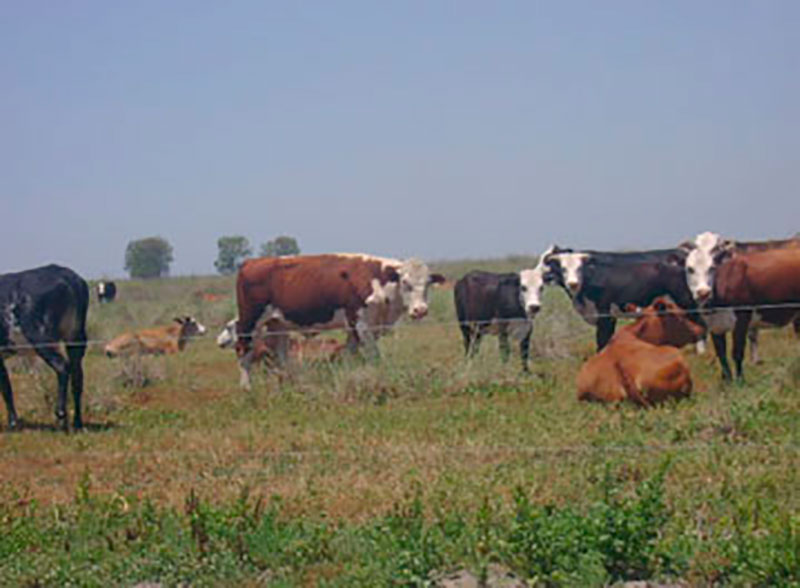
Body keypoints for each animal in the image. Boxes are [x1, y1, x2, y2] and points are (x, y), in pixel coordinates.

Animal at [0, 264, 89, 431]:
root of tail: (67, 276)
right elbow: (6, 386)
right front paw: (13, 422)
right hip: (75, 340)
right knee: (77, 376)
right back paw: (77, 422)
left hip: (41, 338)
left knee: (62, 367)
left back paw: (61, 416)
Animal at [234, 254, 445, 389]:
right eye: (405, 283)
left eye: (428, 283)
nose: (420, 310)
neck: (378, 281)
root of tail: (250, 262)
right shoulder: (361, 323)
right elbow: (373, 355)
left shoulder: (361, 327)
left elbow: (350, 354)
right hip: (249, 321)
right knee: (244, 349)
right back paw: (246, 386)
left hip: (278, 324)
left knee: (280, 353)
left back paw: (287, 381)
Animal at [542, 245, 700, 351]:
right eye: (562, 269)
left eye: (580, 268)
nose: (573, 283)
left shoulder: (605, 315)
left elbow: (602, 341)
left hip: (687, 301)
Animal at [683, 232, 800, 380]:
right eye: (690, 269)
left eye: (712, 268)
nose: (703, 292)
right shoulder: (715, 326)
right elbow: (721, 354)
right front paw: (727, 380)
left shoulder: (742, 318)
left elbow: (737, 352)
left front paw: (740, 381)